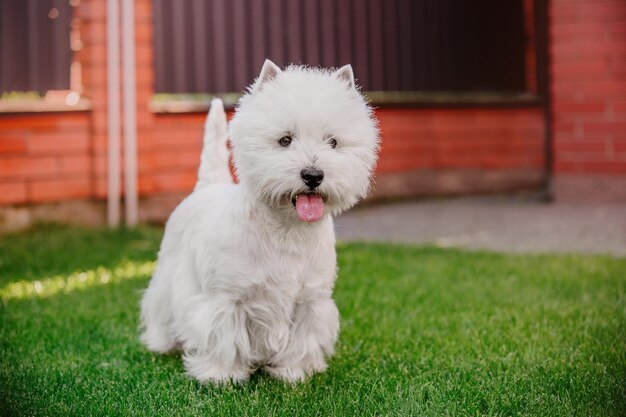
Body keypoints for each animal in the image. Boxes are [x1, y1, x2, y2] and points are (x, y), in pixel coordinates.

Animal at [139, 59, 378, 384]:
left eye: (333, 142)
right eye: (285, 140)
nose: (313, 175)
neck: (288, 230)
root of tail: (208, 186)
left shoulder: (310, 301)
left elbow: (303, 338)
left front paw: (295, 372)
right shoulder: (225, 298)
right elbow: (223, 337)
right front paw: (221, 376)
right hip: (169, 274)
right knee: (160, 306)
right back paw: (161, 343)